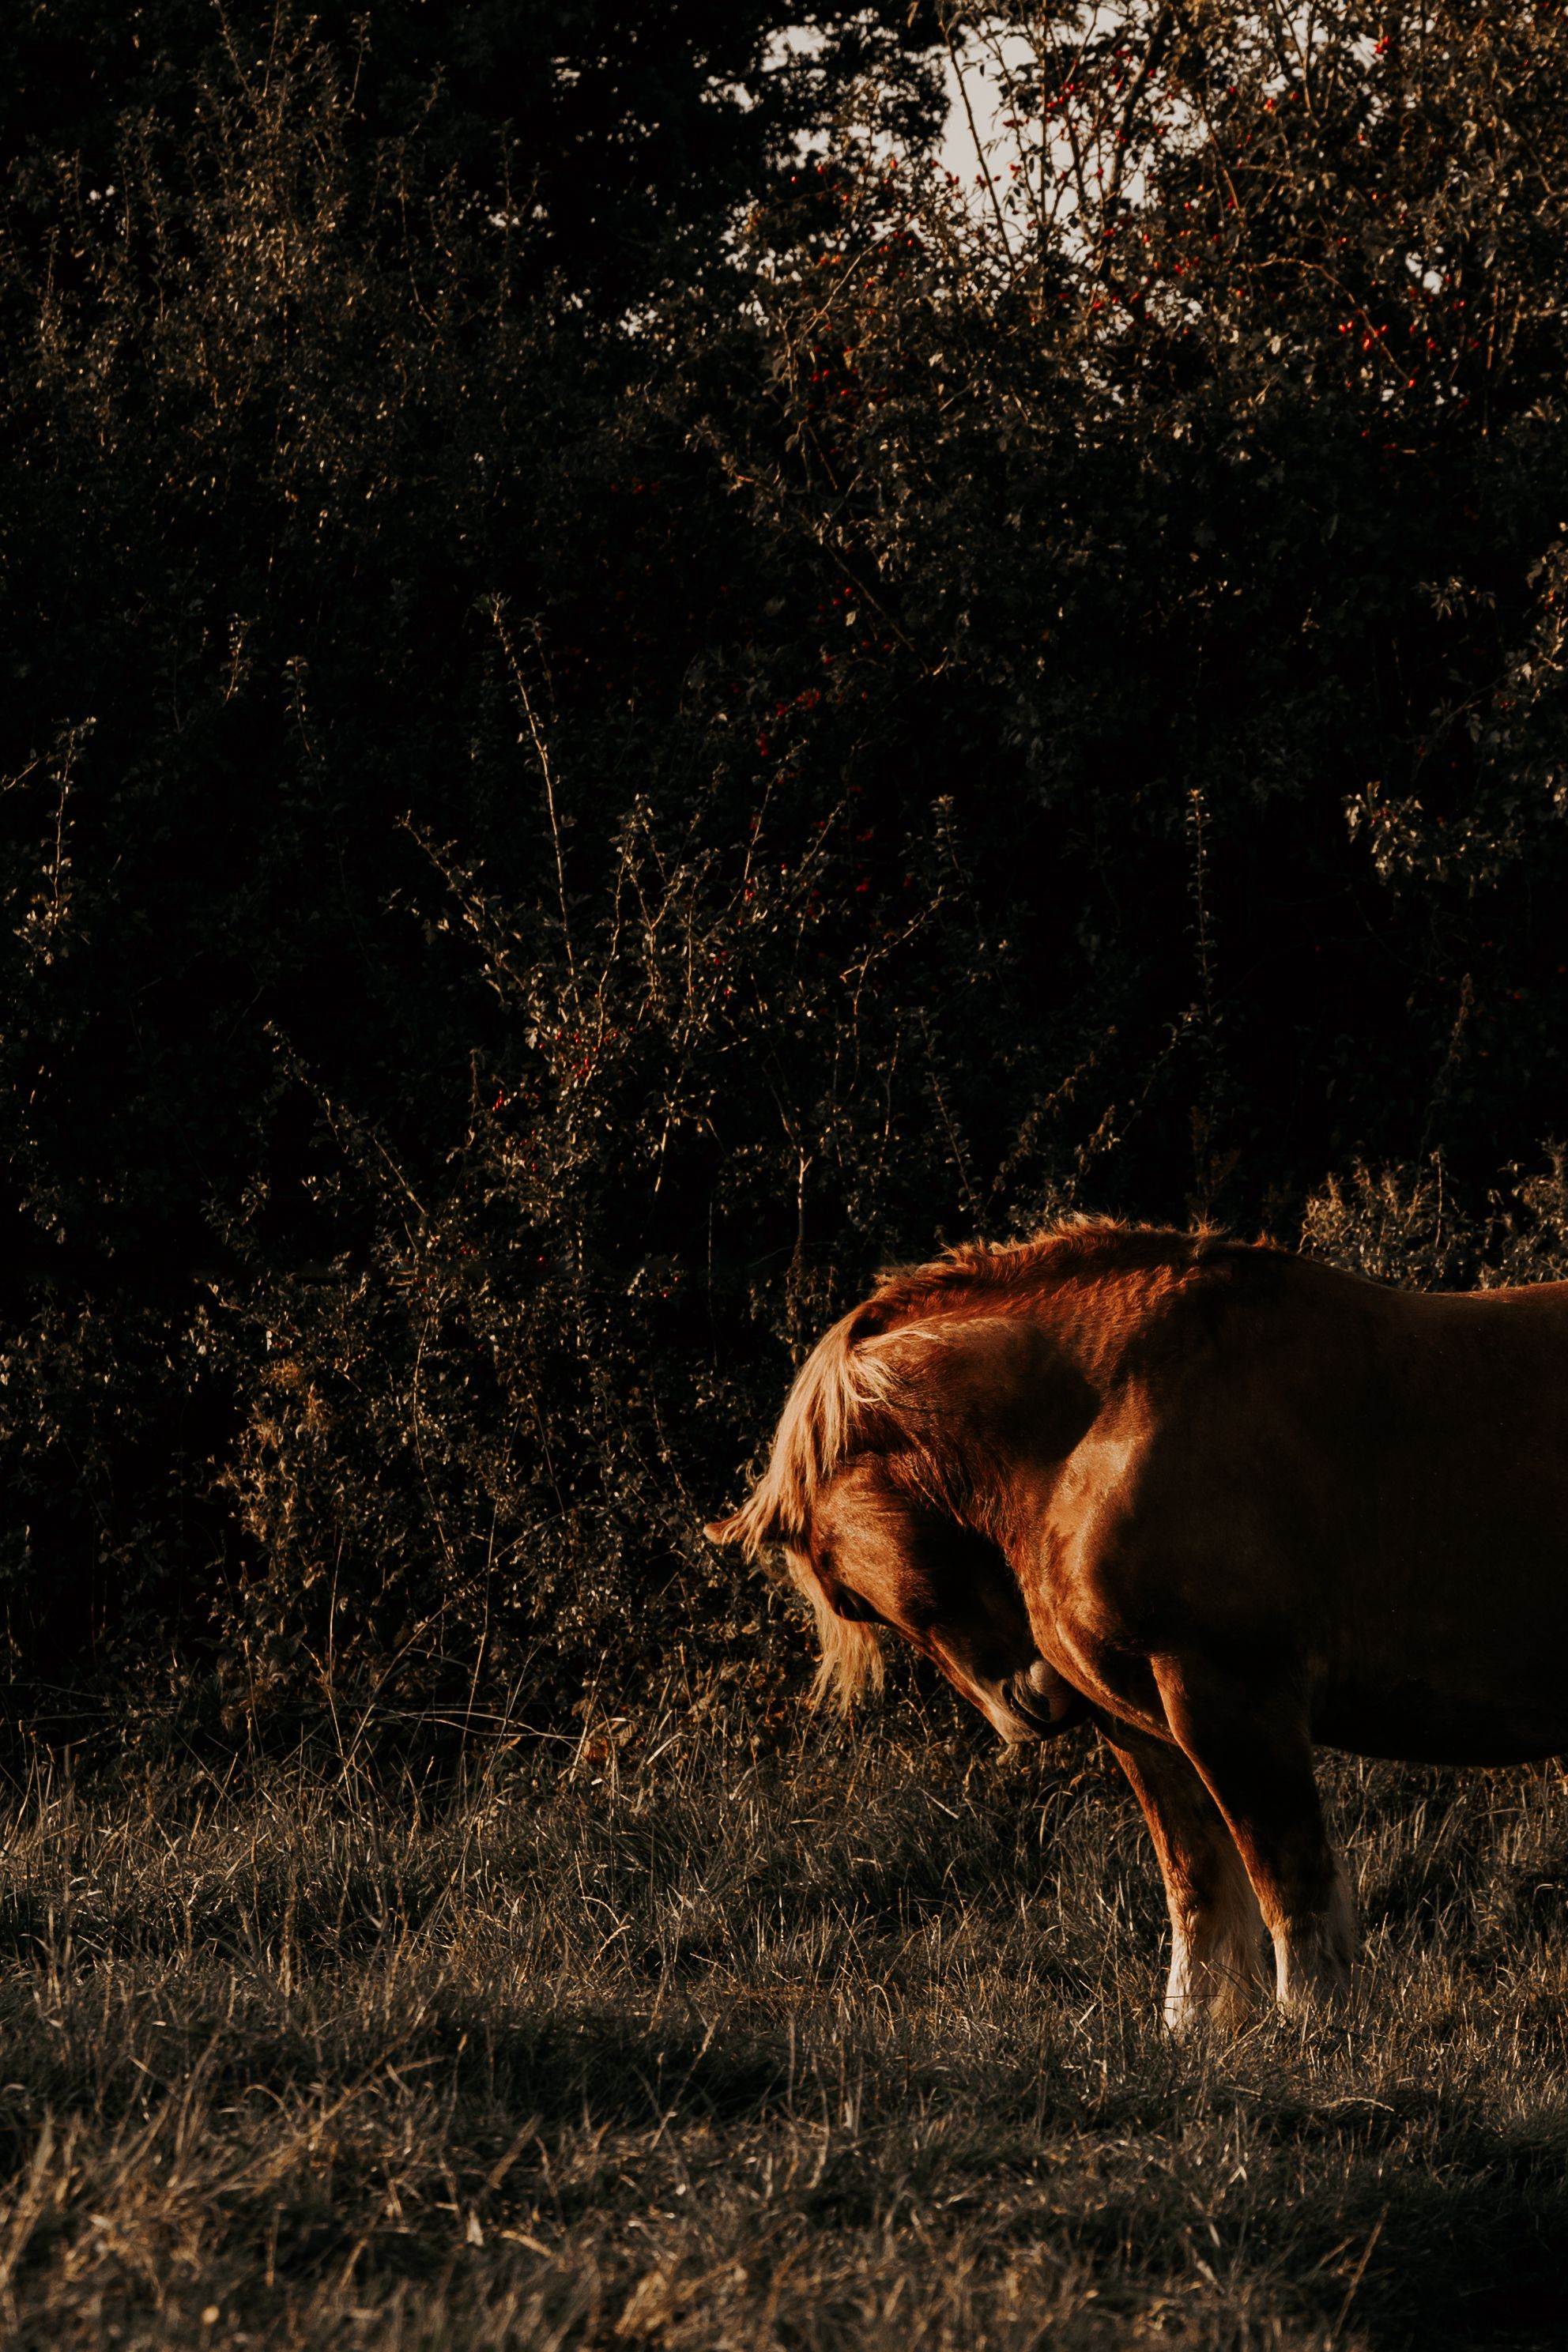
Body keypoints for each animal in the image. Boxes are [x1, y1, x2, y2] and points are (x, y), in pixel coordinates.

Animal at [705, 1219, 1568, 2030]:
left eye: (846, 1598)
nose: (1030, 1705)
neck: (1105, 1426)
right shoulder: (1142, 1723)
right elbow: (1195, 1882)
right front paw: (1199, 2026)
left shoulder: (1231, 1700)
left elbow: (1287, 1875)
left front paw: (1314, 2022)